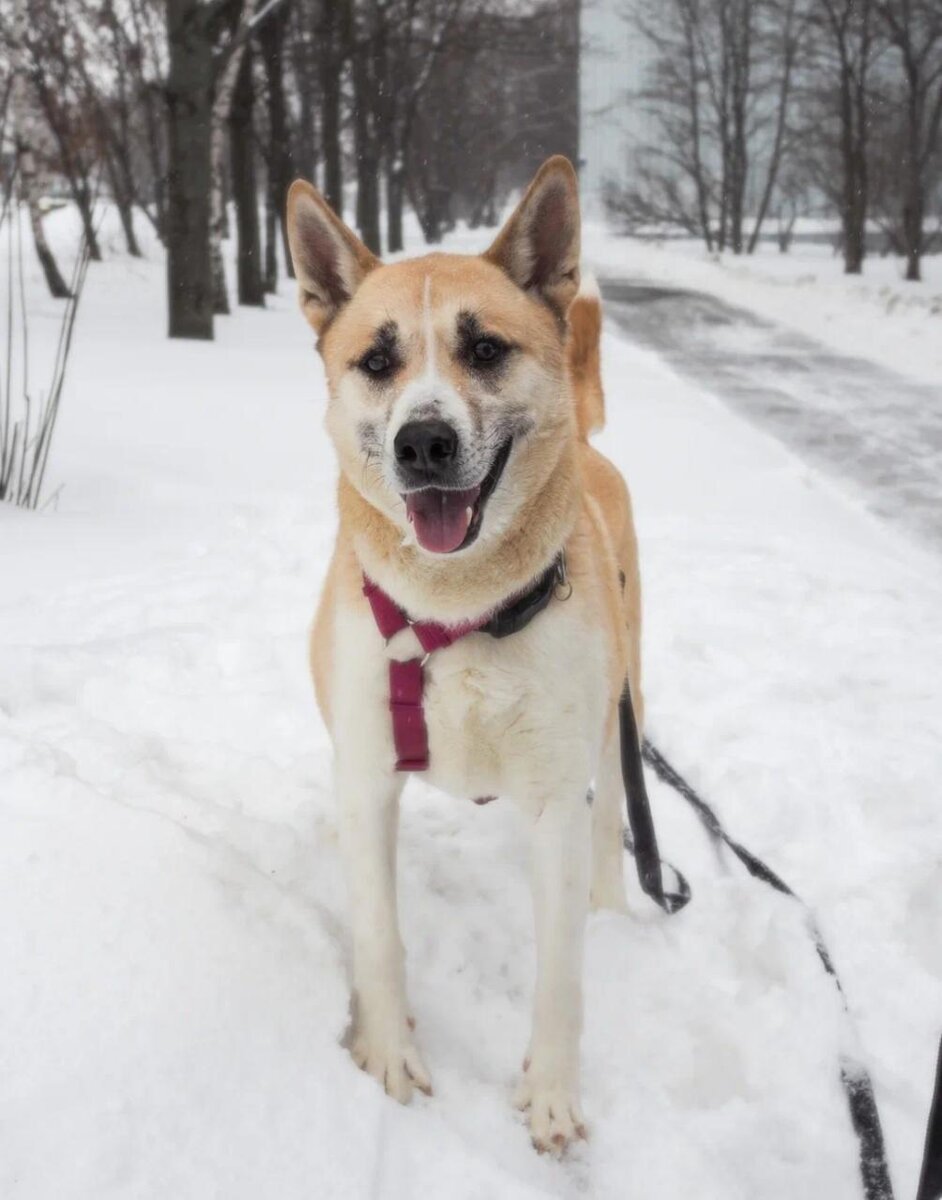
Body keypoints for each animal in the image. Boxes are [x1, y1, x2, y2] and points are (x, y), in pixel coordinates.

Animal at [284, 154, 638, 1147]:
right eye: (377, 360)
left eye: (484, 350)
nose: (424, 442)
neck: (459, 615)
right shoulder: (368, 773)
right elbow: (378, 932)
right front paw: (387, 1054)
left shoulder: (554, 796)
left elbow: (562, 976)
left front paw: (552, 1094)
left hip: (617, 712)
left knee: (611, 813)